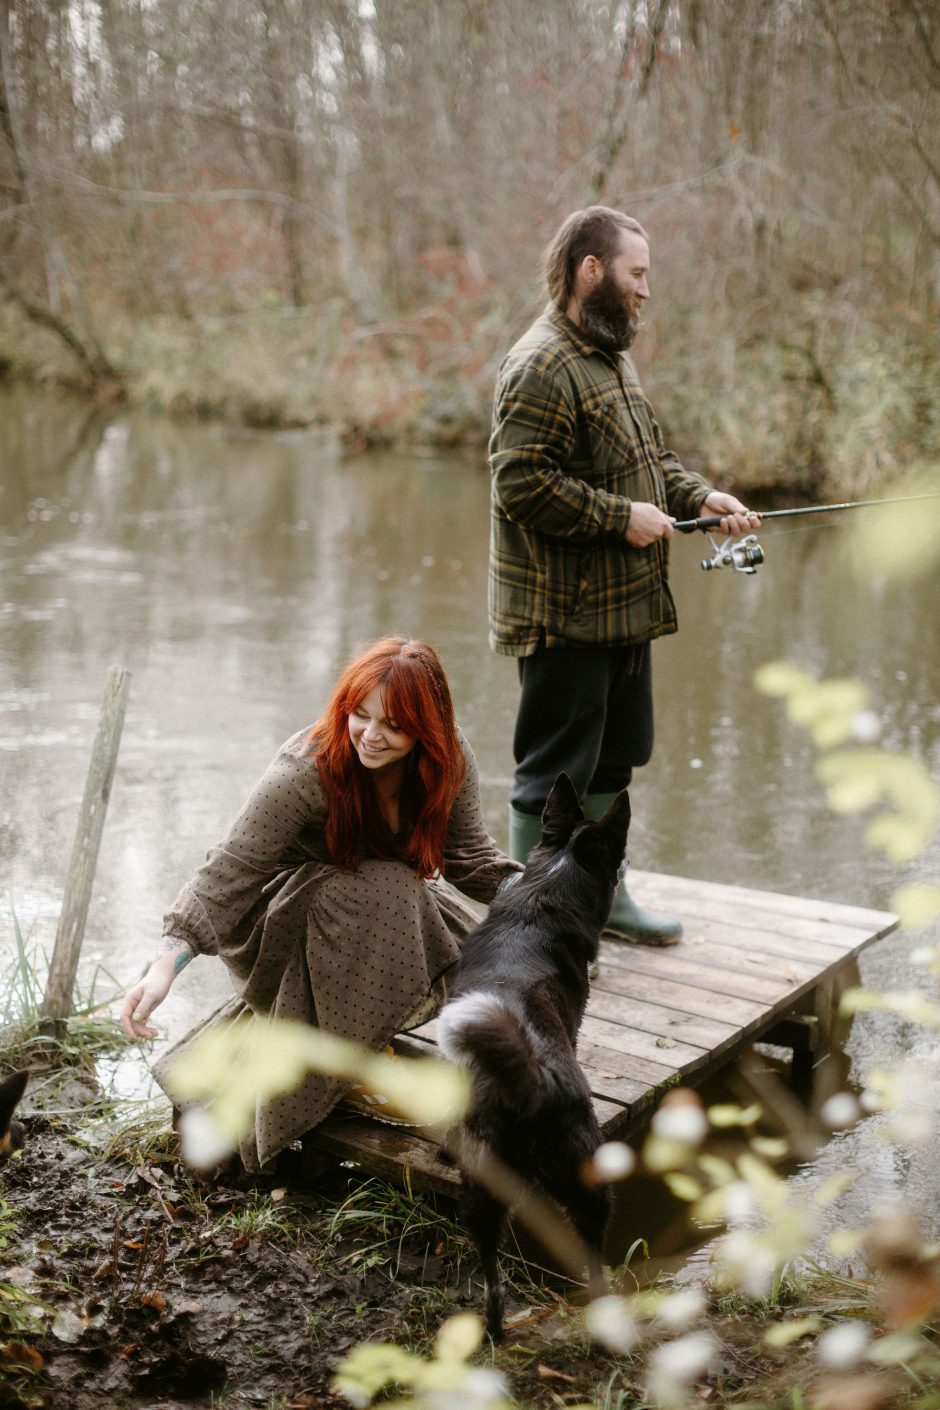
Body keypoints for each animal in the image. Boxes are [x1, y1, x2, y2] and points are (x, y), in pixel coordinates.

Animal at [436, 778, 628, 1336]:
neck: (544, 895)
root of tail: (536, 1085)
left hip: (483, 1189)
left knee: (492, 1277)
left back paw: (494, 1333)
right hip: (588, 1182)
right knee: (592, 1262)